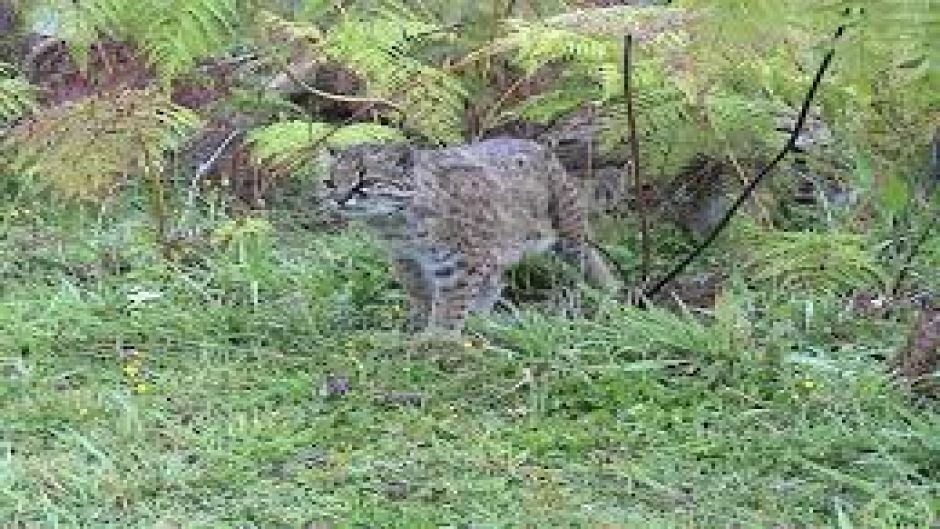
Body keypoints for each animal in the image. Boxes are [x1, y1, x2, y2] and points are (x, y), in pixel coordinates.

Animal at [320, 138, 620, 332]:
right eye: (330, 182)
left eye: (364, 181)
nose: (339, 199)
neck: (398, 224)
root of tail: (539, 146)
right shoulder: (407, 259)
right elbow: (419, 293)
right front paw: (419, 325)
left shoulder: (461, 261)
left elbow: (450, 303)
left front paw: (436, 341)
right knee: (495, 282)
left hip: (568, 229)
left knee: (588, 258)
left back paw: (609, 293)